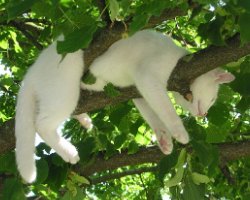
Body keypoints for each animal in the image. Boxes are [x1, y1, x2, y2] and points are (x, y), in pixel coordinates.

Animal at [81, 30, 235, 155]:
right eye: (212, 99)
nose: (204, 114)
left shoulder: (137, 89)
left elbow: (152, 115)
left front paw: (164, 139)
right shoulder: (147, 77)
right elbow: (167, 111)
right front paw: (181, 133)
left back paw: (84, 119)